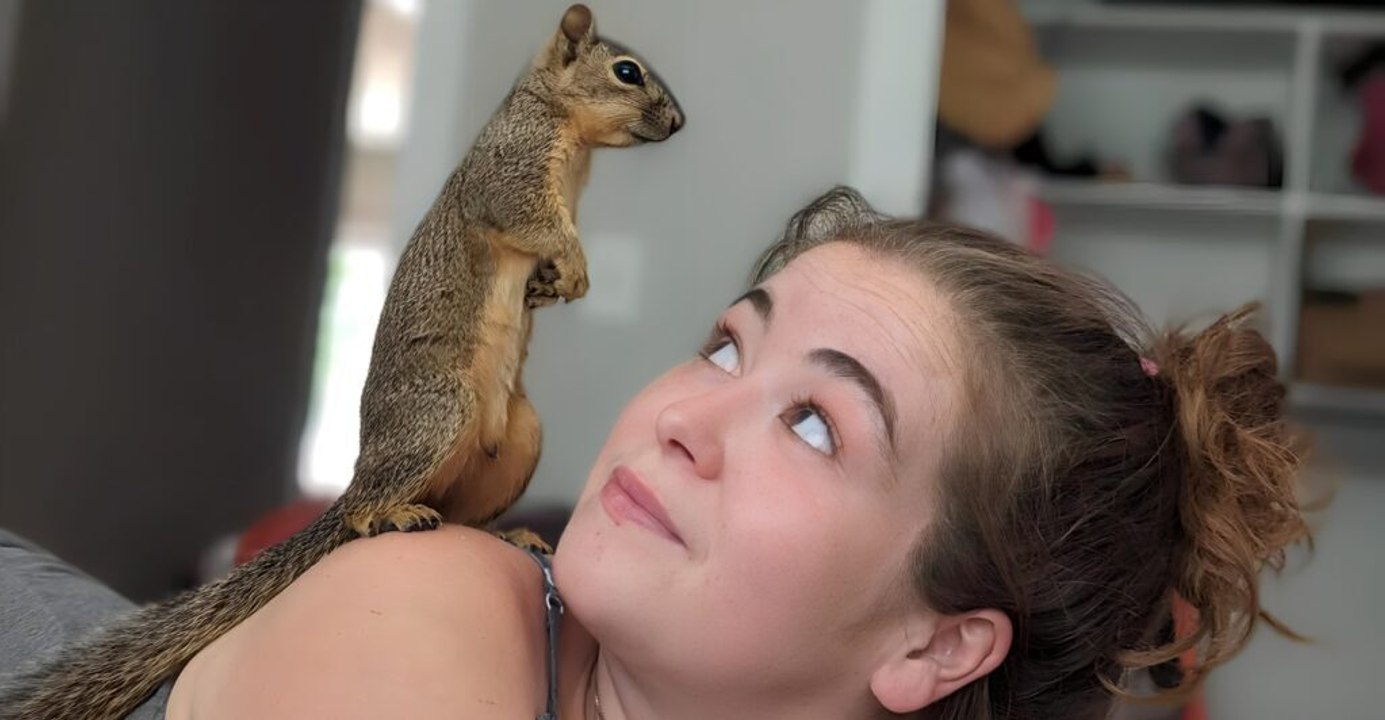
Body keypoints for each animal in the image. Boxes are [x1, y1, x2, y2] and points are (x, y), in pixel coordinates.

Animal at [0, 5, 683, 719]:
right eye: (626, 72)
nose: (678, 121)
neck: (569, 140)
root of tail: (360, 476)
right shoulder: (512, 168)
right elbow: (528, 218)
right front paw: (574, 271)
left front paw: (555, 287)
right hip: (438, 412)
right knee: (370, 511)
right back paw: (392, 513)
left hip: (516, 438)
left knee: (458, 516)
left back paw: (507, 536)